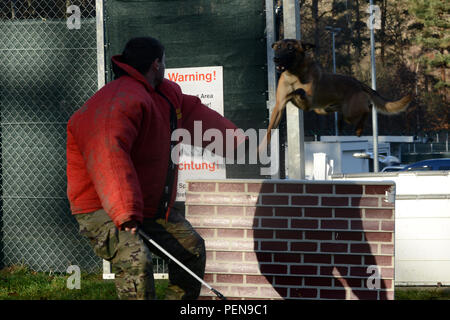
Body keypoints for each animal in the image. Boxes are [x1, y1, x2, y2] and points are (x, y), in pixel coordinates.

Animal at [260, 38, 412, 151]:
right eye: (278, 47)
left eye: (291, 48)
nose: (276, 59)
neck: (293, 74)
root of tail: (358, 83)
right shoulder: (279, 107)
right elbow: (269, 128)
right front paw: (261, 148)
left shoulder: (308, 102)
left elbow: (299, 91)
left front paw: (295, 90)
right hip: (323, 109)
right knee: (345, 112)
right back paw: (340, 123)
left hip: (350, 111)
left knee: (367, 109)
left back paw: (358, 129)